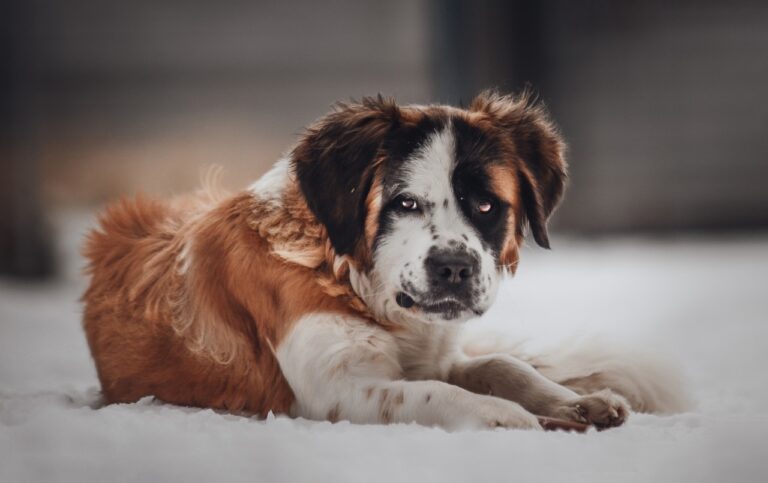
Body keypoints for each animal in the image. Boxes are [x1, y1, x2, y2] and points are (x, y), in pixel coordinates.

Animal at [81, 91, 688, 432]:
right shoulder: (336, 390)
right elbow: (433, 393)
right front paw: (503, 416)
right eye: (405, 203)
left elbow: (501, 366)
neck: (342, 271)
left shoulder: (439, 356)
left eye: (486, 205)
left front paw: (577, 403)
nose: (454, 269)